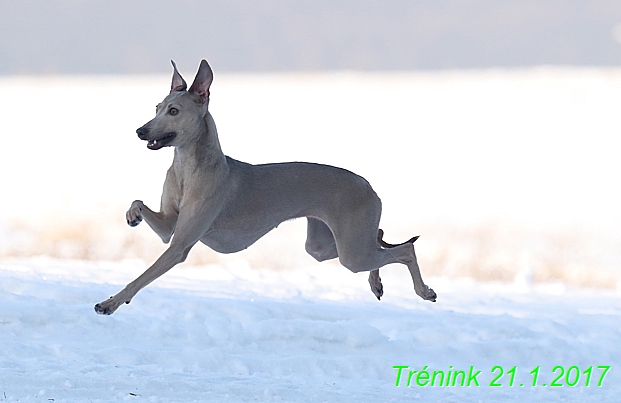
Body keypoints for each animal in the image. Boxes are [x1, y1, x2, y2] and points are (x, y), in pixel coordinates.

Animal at [94, 60, 434, 316]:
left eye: (174, 111)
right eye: (156, 107)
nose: (140, 131)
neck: (188, 169)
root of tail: (369, 185)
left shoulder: (179, 246)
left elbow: (142, 277)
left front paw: (110, 302)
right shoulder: (168, 227)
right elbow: (139, 202)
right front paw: (133, 215)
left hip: (351, 251)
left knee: (405, 250)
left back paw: (424, 290)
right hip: (323, 245)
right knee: (379, 239)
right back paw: (376, 283)